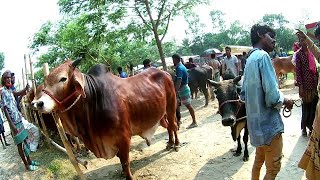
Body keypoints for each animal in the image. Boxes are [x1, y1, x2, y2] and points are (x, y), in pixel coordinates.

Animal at [31, 59, 180, 179]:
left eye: (63, 79)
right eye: (45, 82)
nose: (38, 103)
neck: (93, 98)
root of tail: (165, 72)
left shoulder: (124, 137)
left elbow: (125, 161)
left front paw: (128, 176)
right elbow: (121, 160)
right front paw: (122, 173)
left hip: (171, 106)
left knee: (173, 124)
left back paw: (176, 144)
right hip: (161, 113)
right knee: (169, 126)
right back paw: (170, 143)